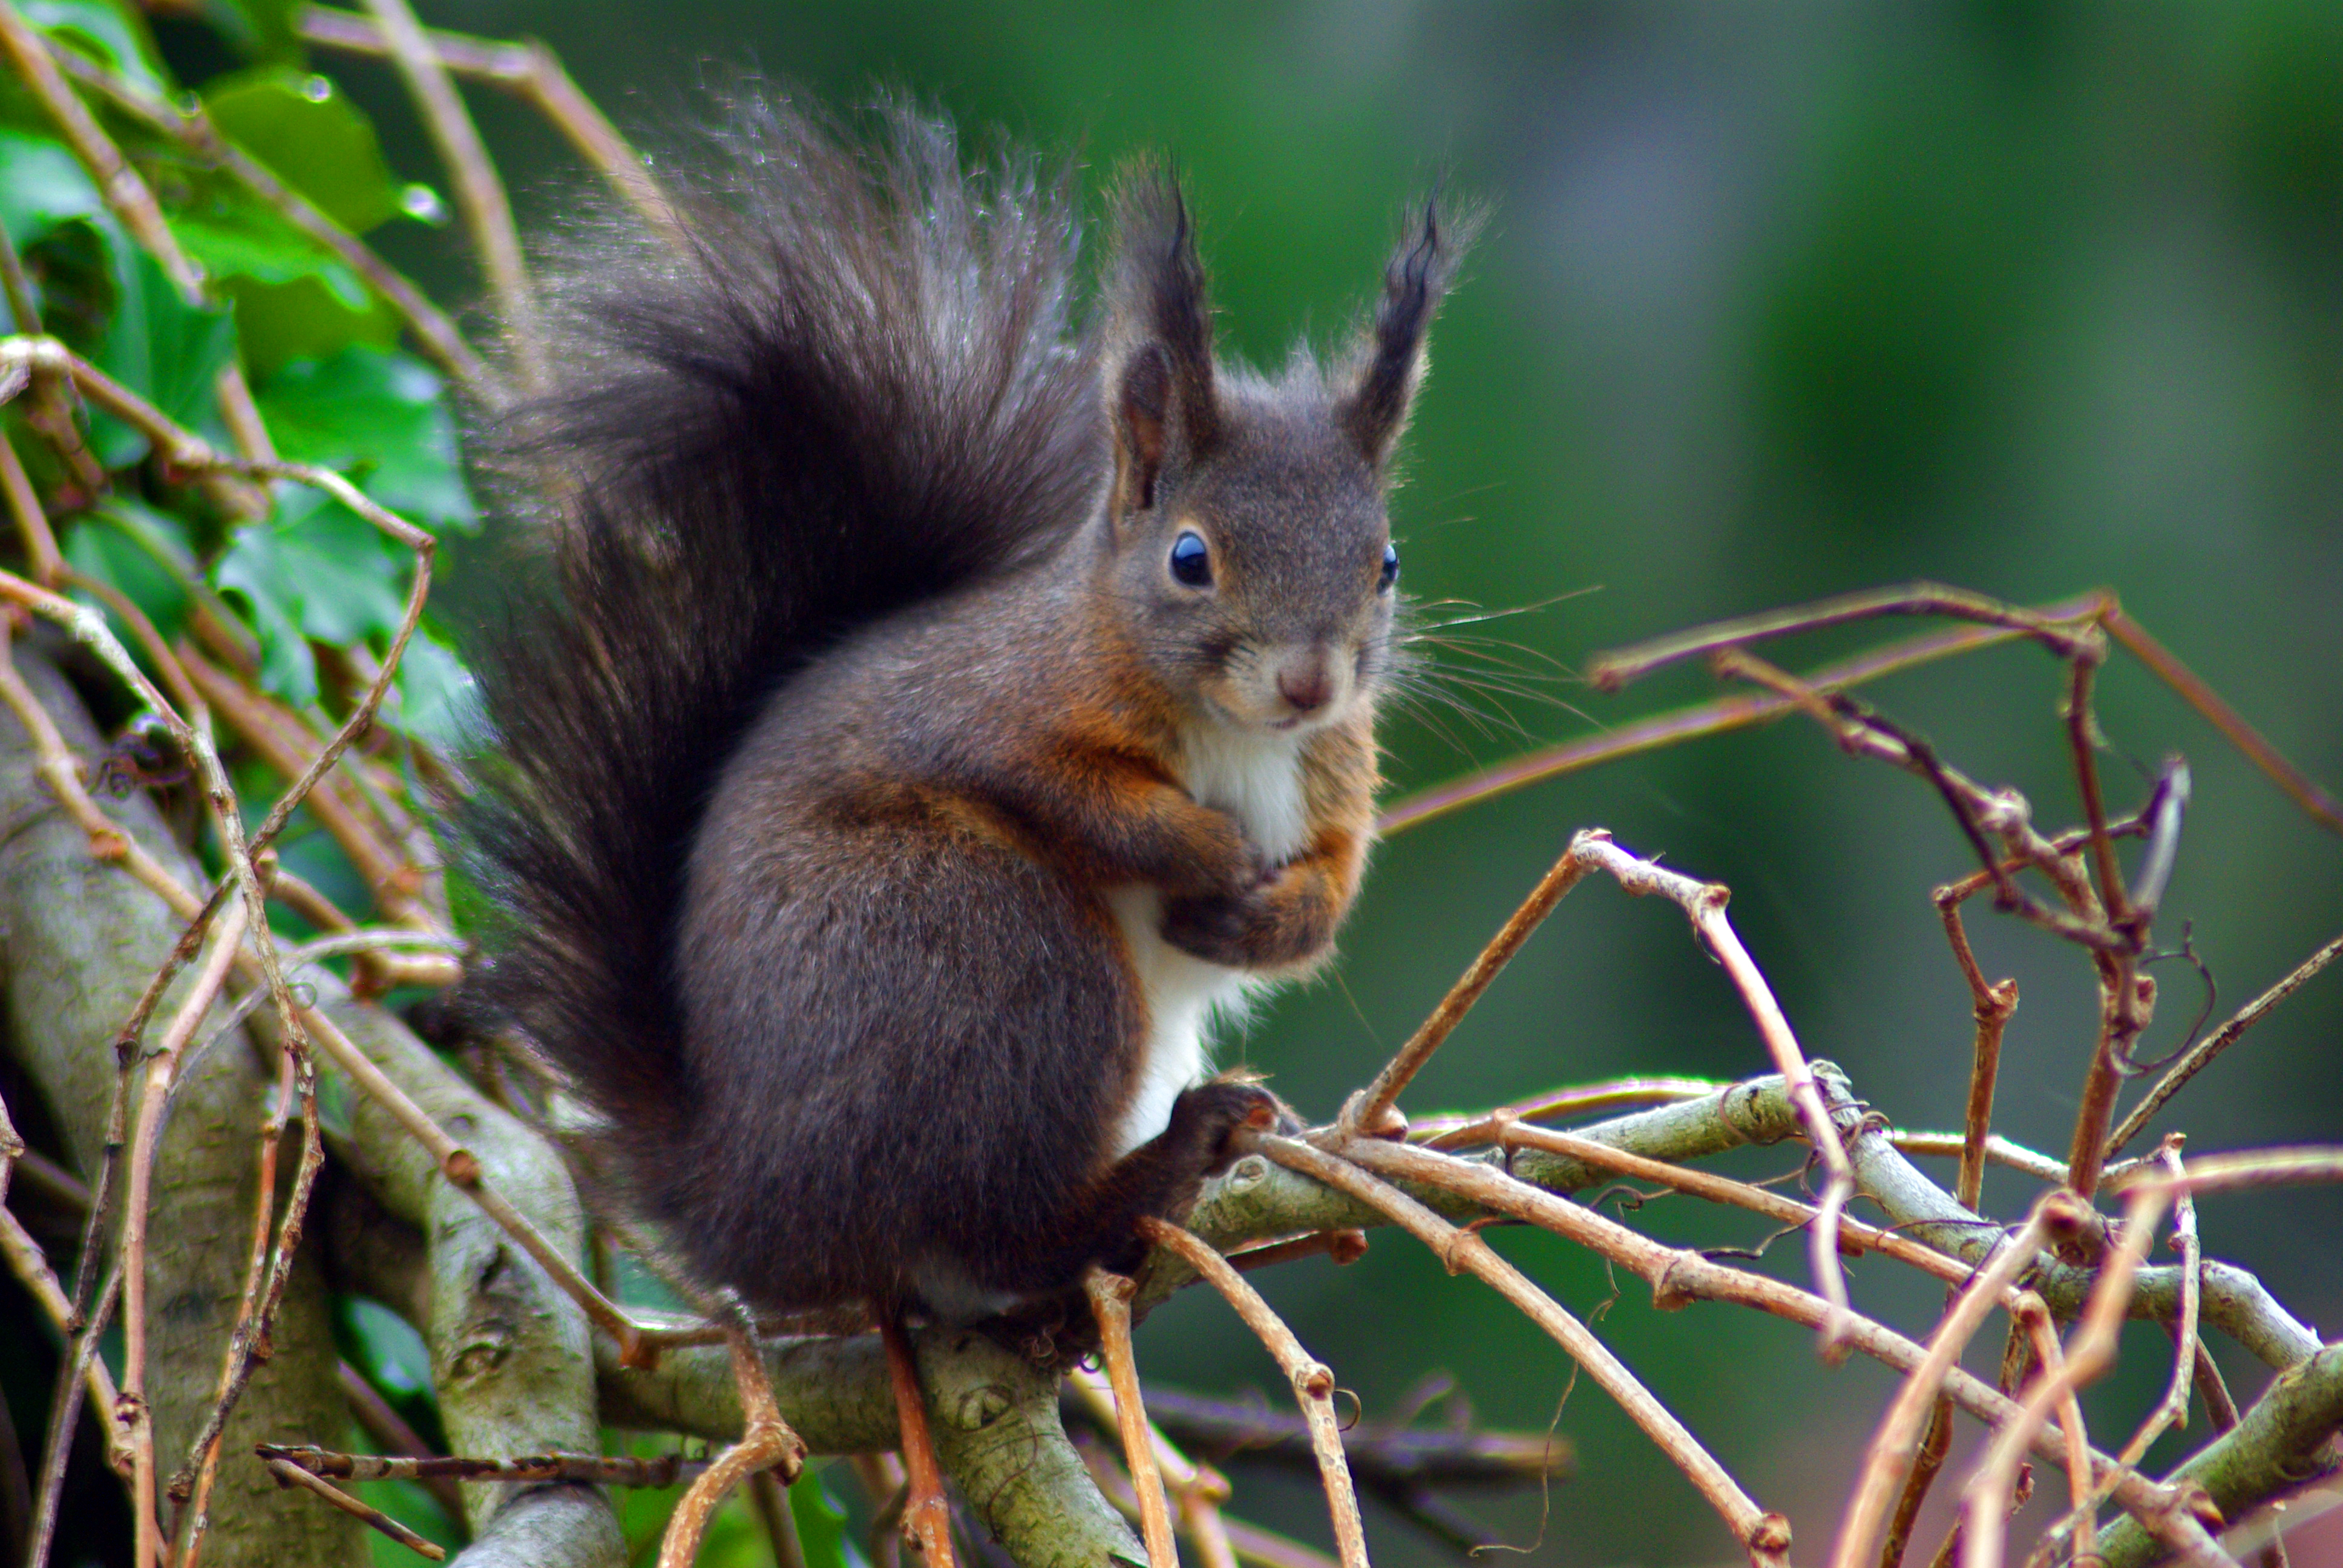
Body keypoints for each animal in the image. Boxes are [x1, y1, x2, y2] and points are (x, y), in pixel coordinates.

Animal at [461, 97, 1462, 1322]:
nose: (1309, 681)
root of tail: (748, 1204)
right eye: (1190, 559)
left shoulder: (1331, 770)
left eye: (1386, 564)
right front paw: (1203, 846)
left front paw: (1265, 918)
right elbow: (1071, 795)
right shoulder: (993, 706)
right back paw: (1166, 1162)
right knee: (1002, 1227)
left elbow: (1332, 879)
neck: (1233, 730)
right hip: (993, 951)